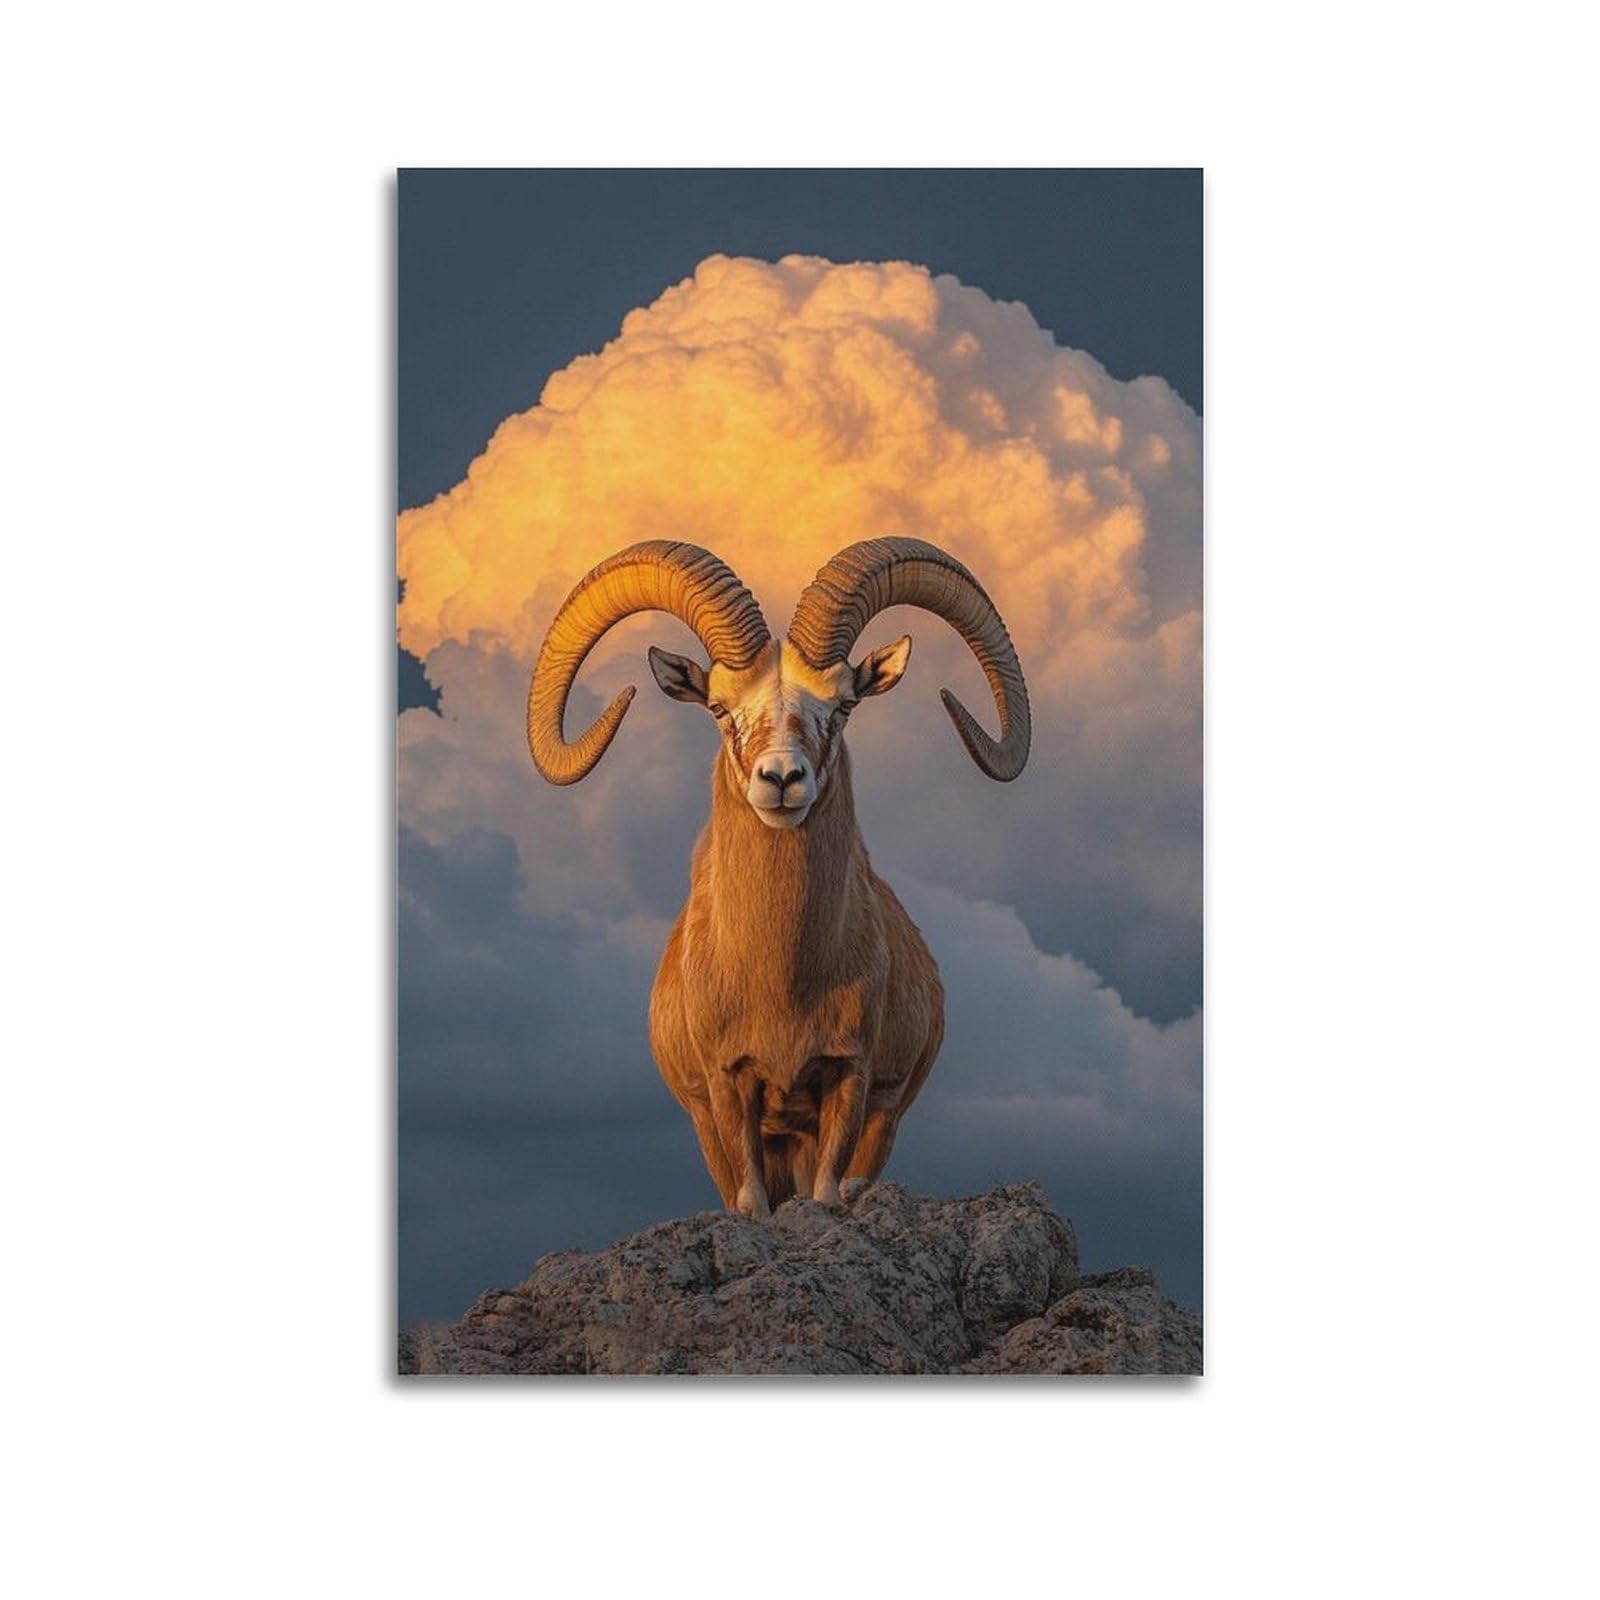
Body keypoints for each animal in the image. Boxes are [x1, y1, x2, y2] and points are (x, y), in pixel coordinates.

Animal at [526, 537, 1031, 1217]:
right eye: (718, 707)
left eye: (843, 705)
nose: (783, 779)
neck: (782, 982)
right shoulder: (725, 1091)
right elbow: (752, 1201)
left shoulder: (851, 1078)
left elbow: (827, 1189)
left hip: (880, 1123)